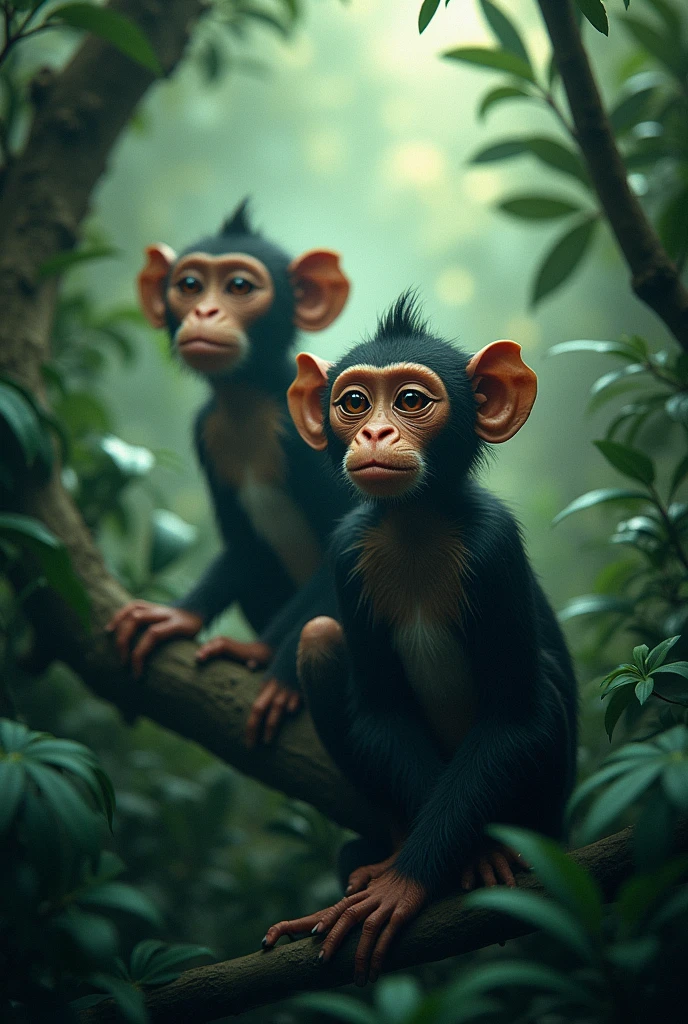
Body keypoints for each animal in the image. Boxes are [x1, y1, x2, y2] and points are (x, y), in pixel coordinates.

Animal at [107, 201, 354, 746]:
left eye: (239, 286)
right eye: (189, 285)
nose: (205, 312)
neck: (250, 400)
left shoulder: (313, 430)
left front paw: (263, 660)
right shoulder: (207, 433)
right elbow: (243, 545)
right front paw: (177, 615)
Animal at [262, 294, 578, 984]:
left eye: (410, 400)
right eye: (354, 402)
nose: (376, 434)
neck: (415, 523)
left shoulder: (493, 544)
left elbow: (515, 718)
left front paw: (403, 884)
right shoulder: (347, 551)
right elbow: (380, 710)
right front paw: (401, 870)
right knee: (319, 641)